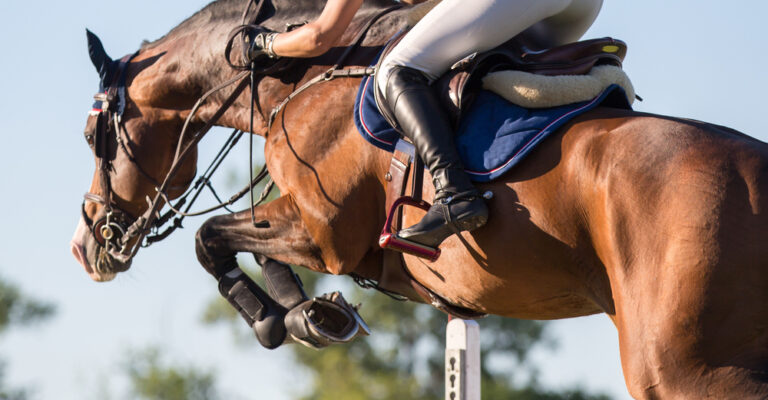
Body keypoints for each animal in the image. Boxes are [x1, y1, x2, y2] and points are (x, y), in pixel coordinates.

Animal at [70, 0, 768, 397]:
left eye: (90, 136)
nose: (86, 248)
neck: (304, 78)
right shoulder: (304, 221)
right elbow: (239, 243)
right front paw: (310, 315)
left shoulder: (324, 232)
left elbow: (209, 237)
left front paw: (277, 319)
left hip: (686, 368)